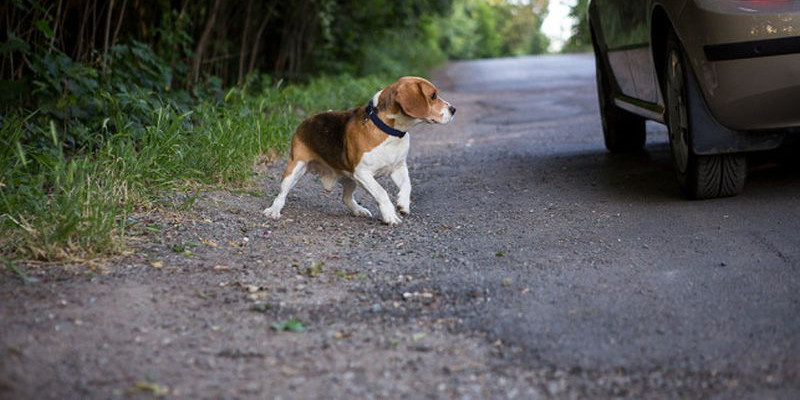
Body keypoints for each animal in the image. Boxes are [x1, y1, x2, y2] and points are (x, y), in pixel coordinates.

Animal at [264, 76, 456, 225]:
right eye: (433, 96)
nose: (453, 110)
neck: (390, 132)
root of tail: (306, 120)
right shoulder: (363, 173)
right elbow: (382, 192)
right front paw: (390, 215)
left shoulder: (398, 167)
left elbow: (407, 185)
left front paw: (403, 204)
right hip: (295, 168)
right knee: (282, 193)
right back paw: (274, 210)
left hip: (350, 179)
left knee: (346, 198)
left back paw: (359, 210)